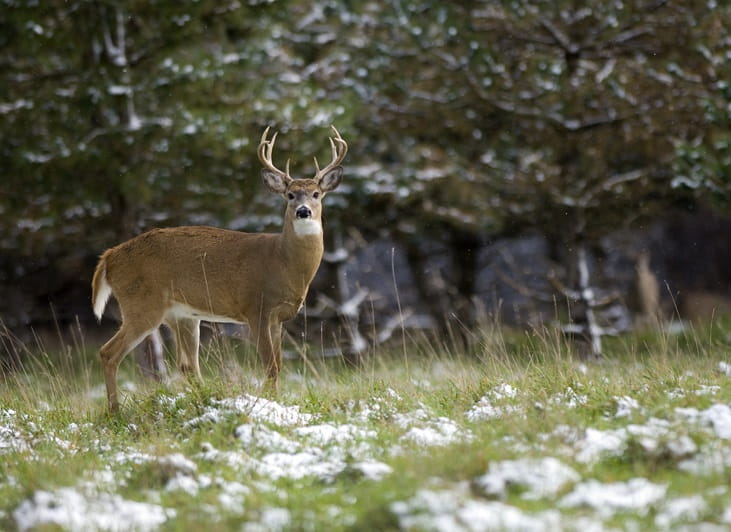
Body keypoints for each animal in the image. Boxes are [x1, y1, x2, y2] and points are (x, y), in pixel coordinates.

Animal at [91, 125, 347, 412]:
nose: (303, 211)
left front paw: (274, 399)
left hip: (182, 316)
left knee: (187, 365)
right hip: (142, 304)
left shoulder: (278, 317)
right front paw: (269, 401)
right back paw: (115, 411)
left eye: (316, 194)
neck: (283, 263)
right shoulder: (255, 308)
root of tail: (109, 257)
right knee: (109, 352)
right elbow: (270, 365)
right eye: (290, 195)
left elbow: (278, 364)